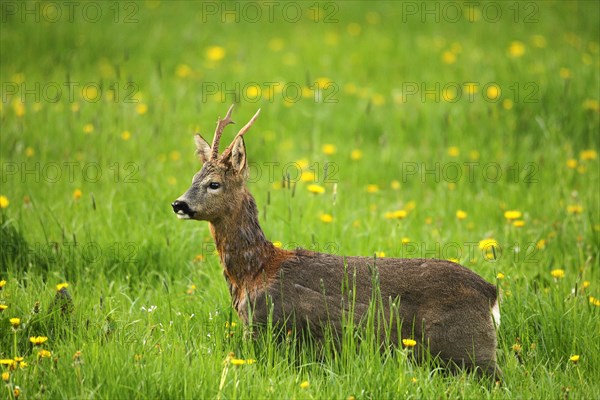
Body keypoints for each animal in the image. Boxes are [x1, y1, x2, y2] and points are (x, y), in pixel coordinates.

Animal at [172, 105, 502, 378]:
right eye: (193, 178)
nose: (179, 204)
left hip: (469, 349)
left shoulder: (266, 329)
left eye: (214, 184)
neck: (254, 272)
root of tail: (490, 292)